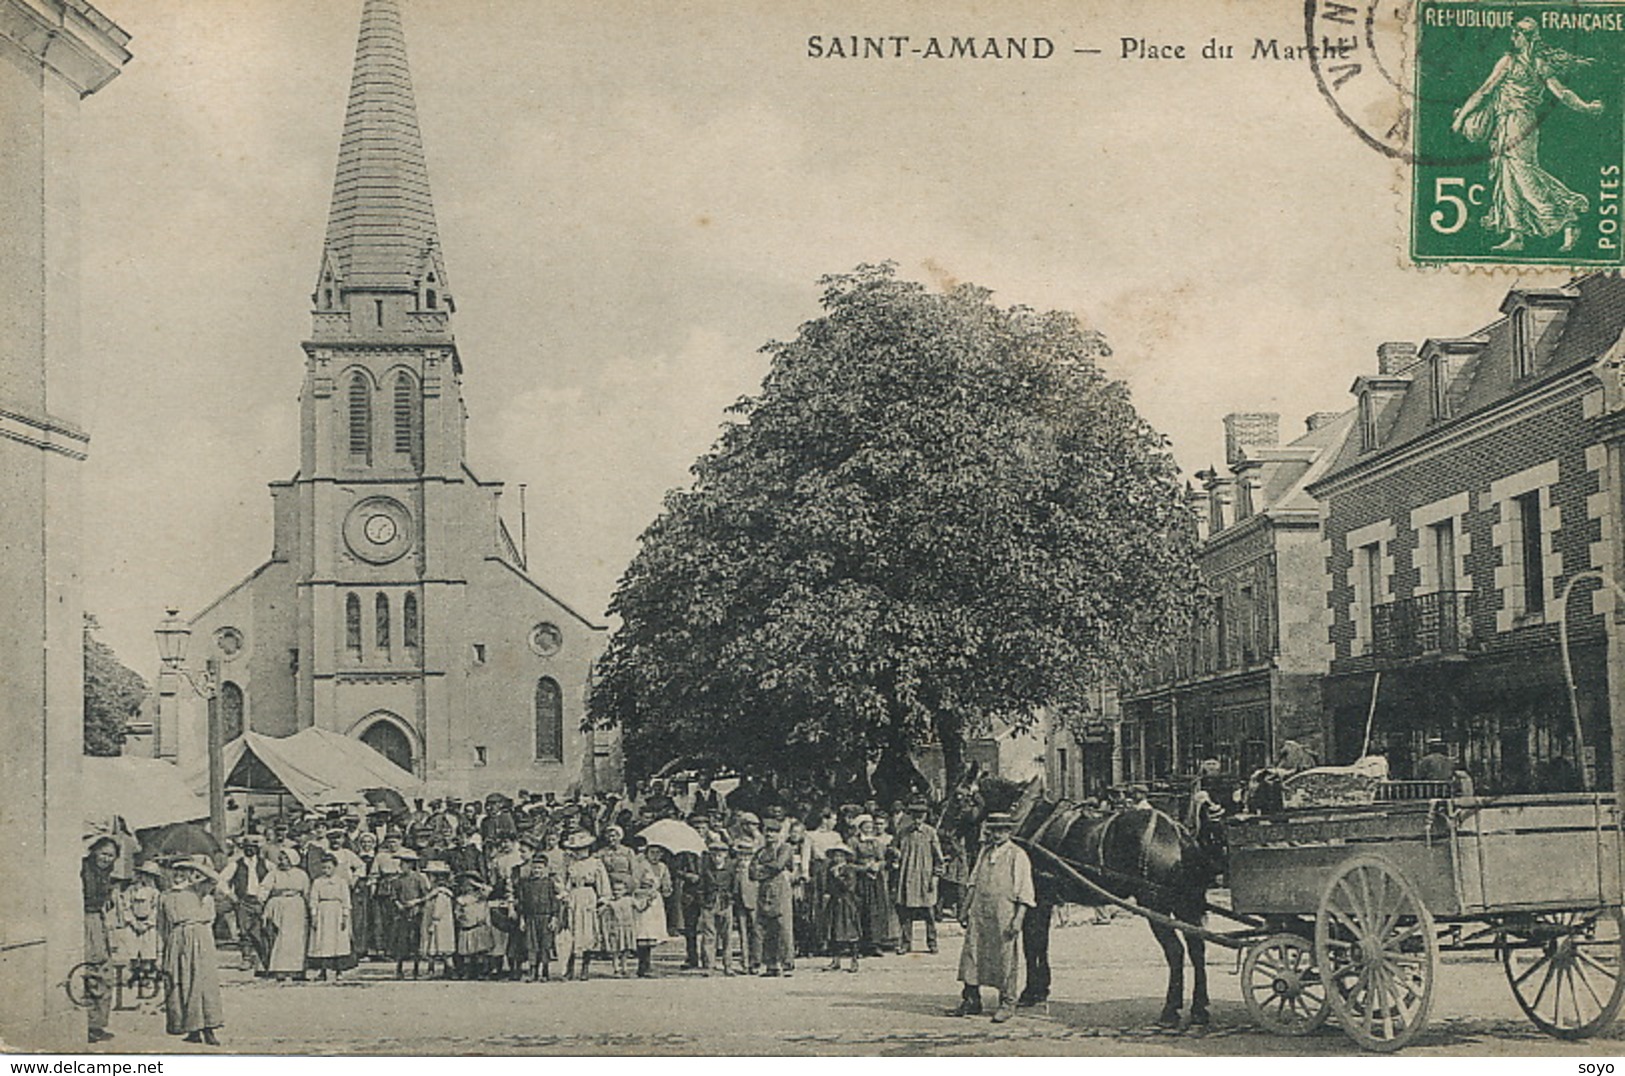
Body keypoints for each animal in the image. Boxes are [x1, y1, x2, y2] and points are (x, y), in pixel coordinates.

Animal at [949, 776, 1222, 1027]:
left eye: (958, 798)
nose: (944, 832)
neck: (1026, 817)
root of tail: (1178, 832)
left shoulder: (1034, 901)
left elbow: (1031, 945)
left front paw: (1029, 992)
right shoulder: (1045, 902)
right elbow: (1041, 944)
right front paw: (1040, 990)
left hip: (1155, 904)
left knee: (1176, 951)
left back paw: (1170, 1010)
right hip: (1185, 904)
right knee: (1197, 949)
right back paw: (1199, 1008)